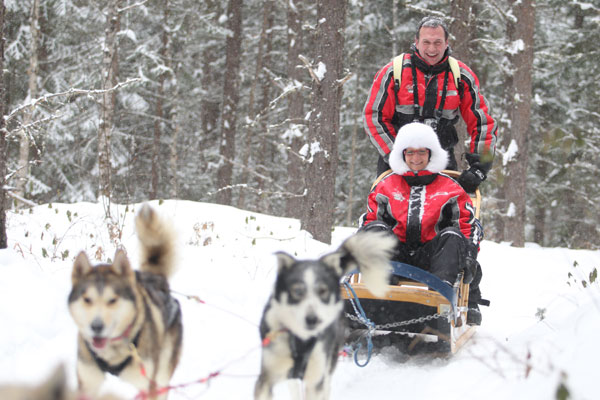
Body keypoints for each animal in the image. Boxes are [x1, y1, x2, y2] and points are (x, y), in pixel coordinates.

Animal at [67, 205, 180, 398]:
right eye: (87, 299)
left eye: (112, 300)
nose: (96, 326)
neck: (111, 355)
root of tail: (155, 278)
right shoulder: (87, 384)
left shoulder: (148, 386)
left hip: (162, 376)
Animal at [254, 231, 398, 400]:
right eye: (297, 291)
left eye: (323, 291)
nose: (312, 319)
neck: (301, 340)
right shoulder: (267, 377)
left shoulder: (316, 379)